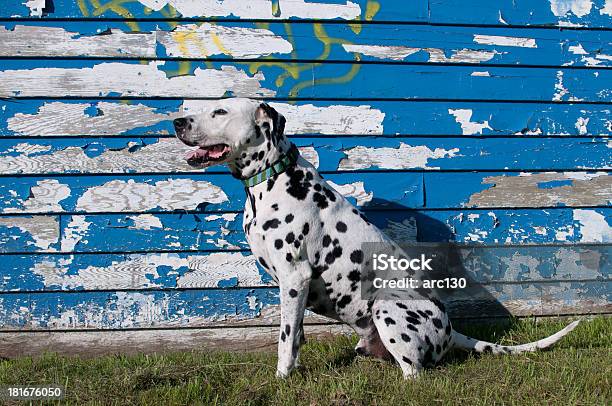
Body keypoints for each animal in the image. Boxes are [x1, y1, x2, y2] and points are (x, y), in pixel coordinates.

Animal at [175, 100, 580, 380]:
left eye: (220, 111)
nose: (177, 121)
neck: (272, 179)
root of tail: (452, 332)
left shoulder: (294, 278)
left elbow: (285, 341)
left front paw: (282, 378)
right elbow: (298, 335)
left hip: (387, 306)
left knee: (415, 374)